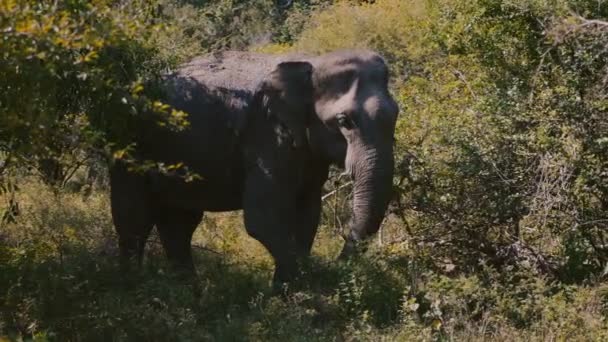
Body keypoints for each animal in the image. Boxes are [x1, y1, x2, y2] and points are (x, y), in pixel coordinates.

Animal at [110, 49, 400, 284]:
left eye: (397, 114)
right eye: (343, 121)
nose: (337, 267)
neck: (312, 62)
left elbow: (307, 214)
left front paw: (288, 293)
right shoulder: (266, 136)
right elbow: (263, 218)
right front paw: (309, 295)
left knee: (179, 224)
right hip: (131, 145)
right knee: (133, 221)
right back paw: (130, 288)